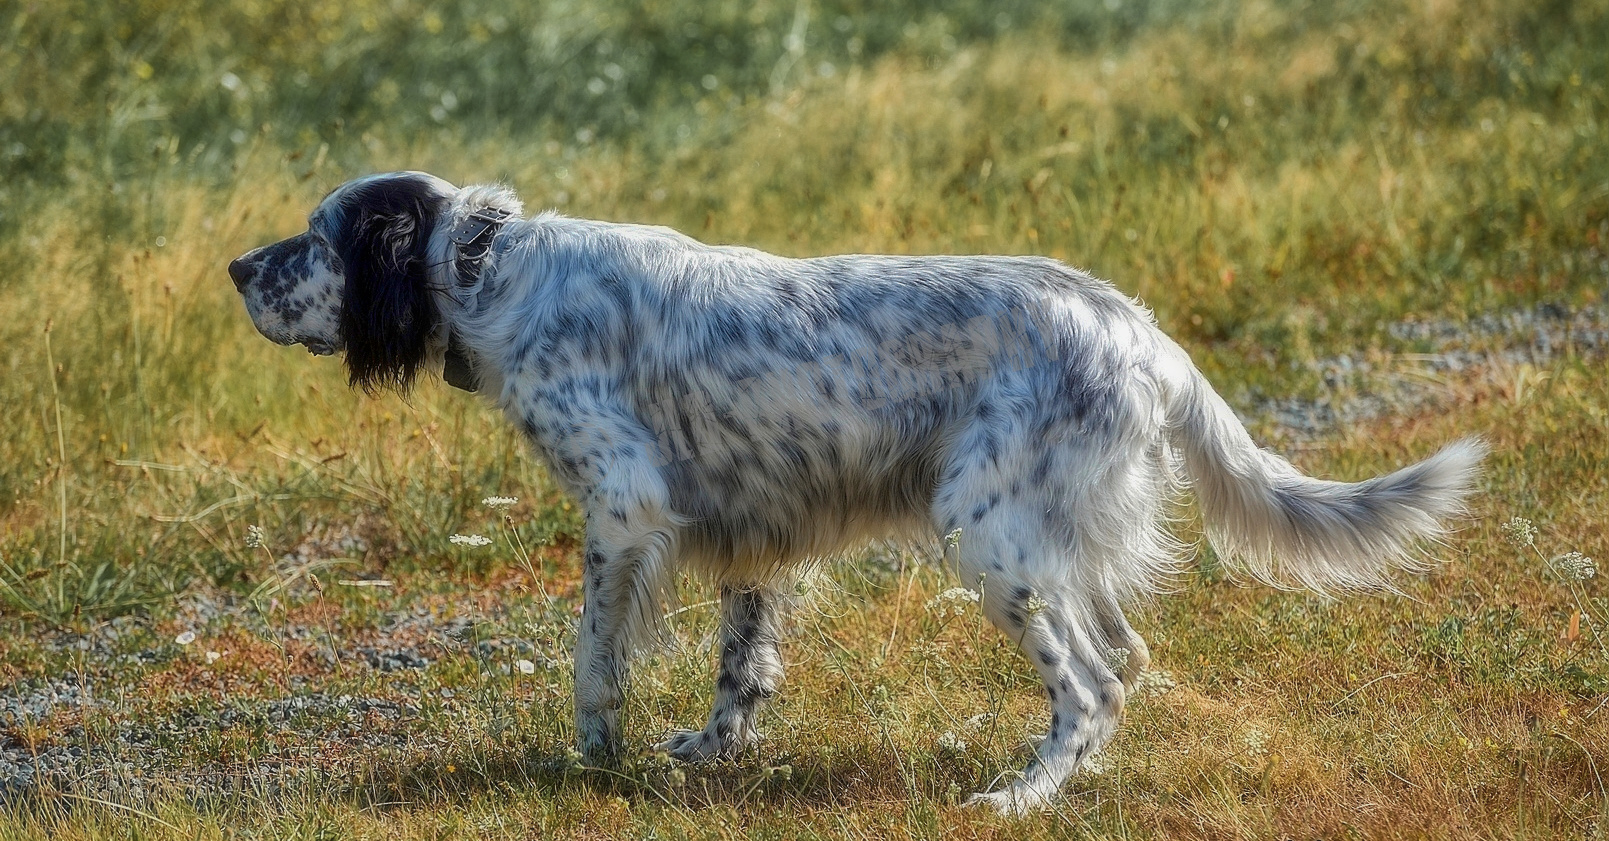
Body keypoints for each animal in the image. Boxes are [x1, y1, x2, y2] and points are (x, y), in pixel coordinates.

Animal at [226, 172, 1480, 816]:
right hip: (1056, 539)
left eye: (317, 237)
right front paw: (707, 751)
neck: (490, 268)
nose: (235, 266)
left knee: (1086, 686)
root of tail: (1139, 330)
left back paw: (1020, 796)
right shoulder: (747, 526)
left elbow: (592, 662)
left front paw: (587, 764)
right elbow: (740, 666)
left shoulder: (621, 509)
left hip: (992, 541)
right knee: (1127, 659)